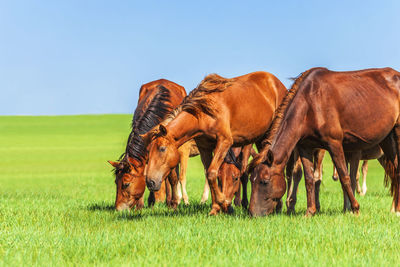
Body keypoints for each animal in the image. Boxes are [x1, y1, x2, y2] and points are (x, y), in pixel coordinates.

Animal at [107, 79, 188, 211]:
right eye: (115, 182)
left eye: (126, 184)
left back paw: (169, 201)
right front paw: (141, 206)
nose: (118, 209)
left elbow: (171, 179)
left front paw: (173, 204)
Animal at [142, 71, 286, 216]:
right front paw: (215, 208)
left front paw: (225, 205)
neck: (203, 113)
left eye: (162, 148)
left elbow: (211, 173)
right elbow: (210, 175)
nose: (150, 182)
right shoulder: (205, 147)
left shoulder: (224, 142)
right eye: (148, 152)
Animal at [248, 67, 400, 218]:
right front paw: (310, 211)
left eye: (264, 181)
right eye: (251, 180)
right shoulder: (305, 147)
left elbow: (344, 177)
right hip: (387, 139)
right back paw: (396, 209)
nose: (252, 214)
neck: (310, 103)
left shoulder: (334, 144)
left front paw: (355, 209)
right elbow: (309, 178)